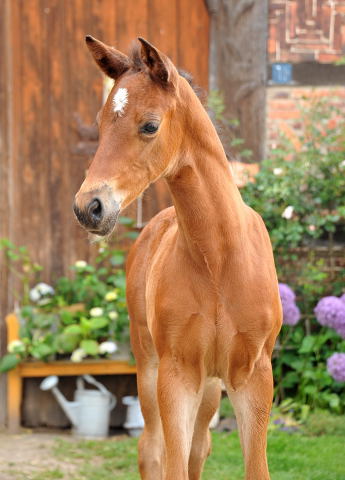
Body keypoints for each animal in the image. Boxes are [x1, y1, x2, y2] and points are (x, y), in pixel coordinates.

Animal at [74, 36, 280, 480]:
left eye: (150, 125)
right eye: (101, 123)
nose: (89, 208)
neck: (218, 257)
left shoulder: (254, 374)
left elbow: (251, 467)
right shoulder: (176, 373)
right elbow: (171, 463)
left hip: (211, 386)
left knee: (199, 448)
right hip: (150, 366)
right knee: (152, 449)